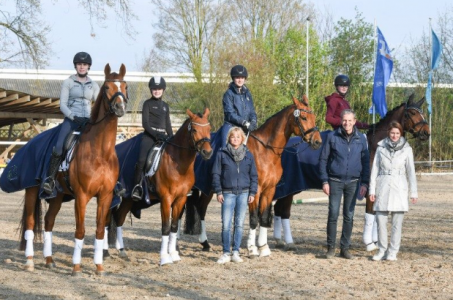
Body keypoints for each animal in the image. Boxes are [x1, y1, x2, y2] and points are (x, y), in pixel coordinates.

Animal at [20, 64, 126, 276]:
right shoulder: (82, 196)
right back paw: (30, 261)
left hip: (57, 196)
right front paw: (76, 267)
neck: (100, 152)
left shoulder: (106, 196)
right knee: (30, 223)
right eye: (107, 88)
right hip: (32, 191)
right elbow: (80, 230)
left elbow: (99, 230)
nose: (120, 108)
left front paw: (99, 266)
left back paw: (49, 260)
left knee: (49, 221)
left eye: (124, 86)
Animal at [107, 107, 213, 264]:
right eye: (194, 129)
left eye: (209, 128)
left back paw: (121, 250)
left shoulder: (181, 199)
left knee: (119, 218)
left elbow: (173, 226)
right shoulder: (166, 199)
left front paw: (174, 254)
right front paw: (164, 257)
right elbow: (165, 227)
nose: (207, 152)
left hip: (128, 199)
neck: (178, 164)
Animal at [185, 96, 322, 258]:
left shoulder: (269, 190)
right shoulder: (255, 191)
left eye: (314, 117)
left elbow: (263, 217)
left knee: (201, 207)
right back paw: (202, 241)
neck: (266, 150)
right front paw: (252, 248)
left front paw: (263, 247)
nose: (318, 141)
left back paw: (205, 243)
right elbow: (253, 218)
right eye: (304, 117)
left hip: (211, 189)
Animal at [270, 95, 430, 250]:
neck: (374, 148)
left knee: (279, 209)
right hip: (290, 187)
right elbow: (370, 215)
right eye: (412, 113)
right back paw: (288, 242)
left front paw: (376, 241)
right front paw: (370, 243)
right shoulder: (369, 190)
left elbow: (376, 216)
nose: (427, 132)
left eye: (421, 112)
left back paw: (280, 240)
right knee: (283, 211)